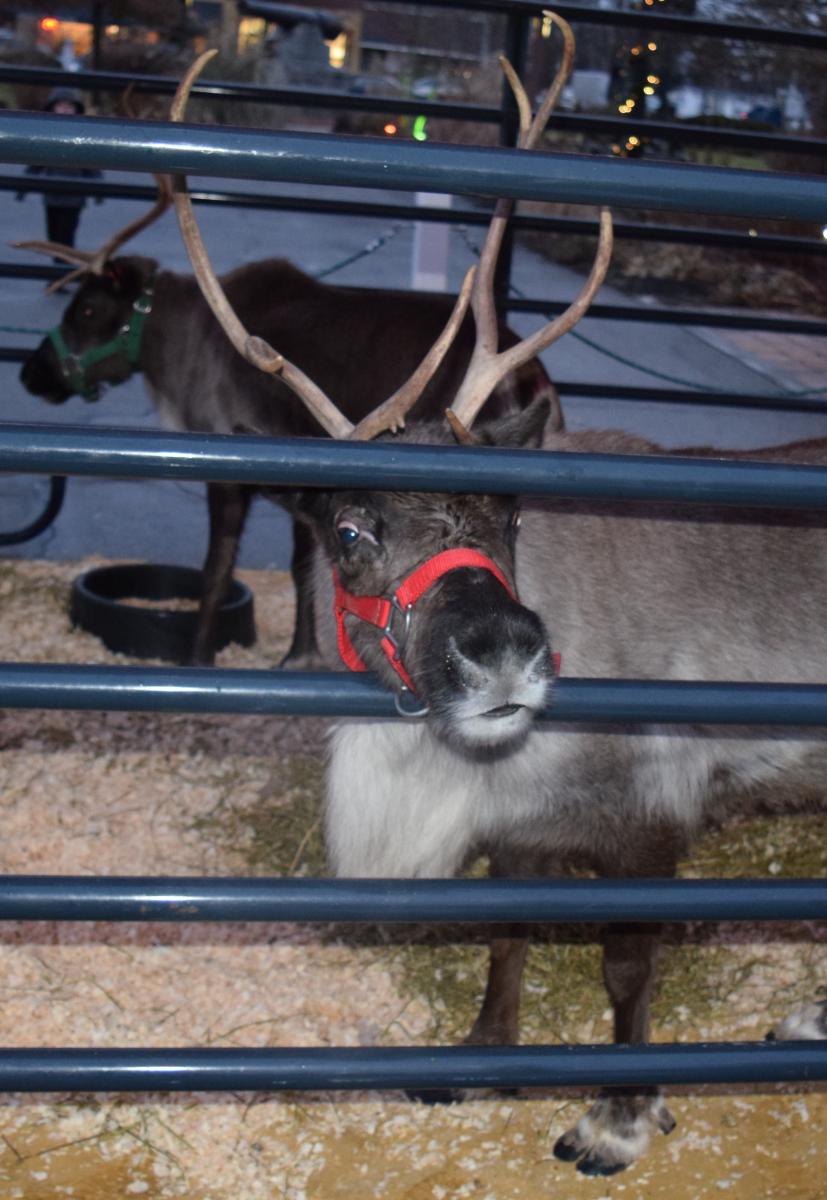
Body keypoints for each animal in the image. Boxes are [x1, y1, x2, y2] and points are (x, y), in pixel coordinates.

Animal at [15, 185, 560, 669]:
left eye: (86, 309)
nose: (30, 372)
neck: (175, 349)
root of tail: (531, 376)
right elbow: (304, 568)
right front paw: (302, 653)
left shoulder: (230, 466)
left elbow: (217, 568)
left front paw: (198, 657)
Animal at [172, 21, 827, 1177]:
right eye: (350, 531)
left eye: (507, 515)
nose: (505, 651)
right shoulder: (516, 830)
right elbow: (506, 934)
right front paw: (484, 1055)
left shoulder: (652, 821)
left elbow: (624, 974)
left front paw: (618, 1115)